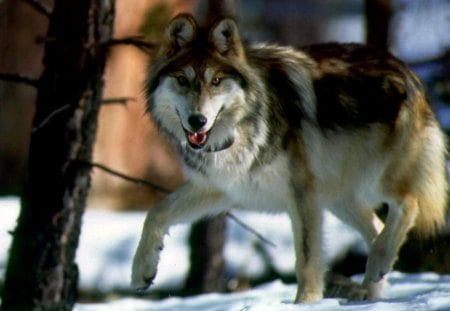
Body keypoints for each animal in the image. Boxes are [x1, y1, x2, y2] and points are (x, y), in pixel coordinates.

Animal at [130, 13, 446, 304]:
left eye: (216, 81)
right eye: (182, 81)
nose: (198, 121)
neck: (241, 129)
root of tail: (406, 69)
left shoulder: (302, 194)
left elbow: (306, 261)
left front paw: (305, 303)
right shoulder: (220, 189)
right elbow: (155, 213)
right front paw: (141, 272)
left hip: (377, 179)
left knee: (409, 203)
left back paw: (377, 266)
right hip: (337, 199)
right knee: (378, 228)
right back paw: (371, 289)